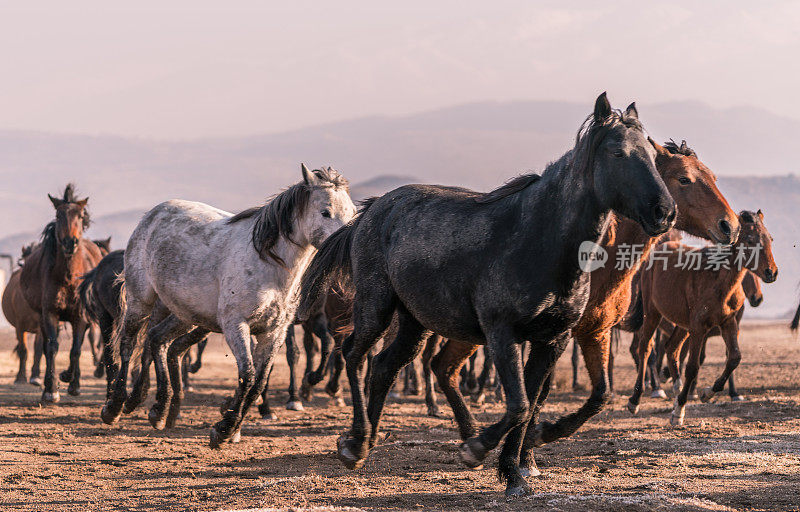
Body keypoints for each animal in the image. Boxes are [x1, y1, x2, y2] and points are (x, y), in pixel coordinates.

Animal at [20, 185, 103, 404]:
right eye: (58, 215)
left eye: (80, 216)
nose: (69, 242)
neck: (68, 277)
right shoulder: (49, 313)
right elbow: (52, 347)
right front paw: (51, 390)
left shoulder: (80, 317)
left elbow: (76, 349)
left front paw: (72, 382)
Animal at [298, 93, 676, 496]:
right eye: (618, 152)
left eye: (652, 156)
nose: (664, 212)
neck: (537, 239)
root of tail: (369, 212)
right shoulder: (501, 333)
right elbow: (519, 404)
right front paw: (477, 449)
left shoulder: (552, 339)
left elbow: (535, 404)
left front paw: (515, 471)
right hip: (376, 306)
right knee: (354, 354)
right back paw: (354, 442)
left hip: (415, 322)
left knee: (385, 366)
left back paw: (365, 443)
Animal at [628, 210, 780, 426]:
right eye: (750, 240)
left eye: (770, 238)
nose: (771, 272)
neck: (717, 280)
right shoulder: (699, 329)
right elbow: (693, 366)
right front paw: (679, 411)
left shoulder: (728, 323)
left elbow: (734, 357)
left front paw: (707, 393)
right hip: (652, 313)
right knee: (645, 349)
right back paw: (636, 399)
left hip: (683, 324)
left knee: (671, 348)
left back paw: (676, 389)